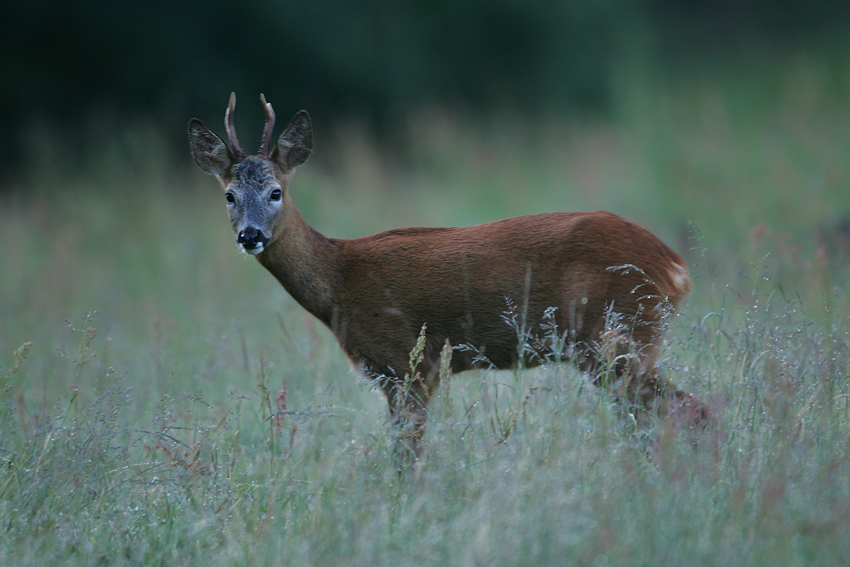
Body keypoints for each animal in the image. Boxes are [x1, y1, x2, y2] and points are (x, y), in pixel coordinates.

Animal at [189, 94, 704, 462]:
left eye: (276, 191)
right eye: (229, 195)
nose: (251, 235)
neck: (338, 281)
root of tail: (675, 266)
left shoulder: (408, 363)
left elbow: (407, 458)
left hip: (619, 336)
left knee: (690, 411)